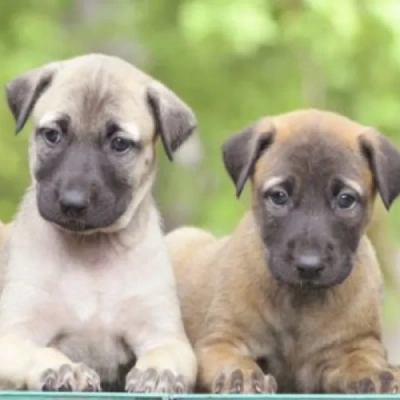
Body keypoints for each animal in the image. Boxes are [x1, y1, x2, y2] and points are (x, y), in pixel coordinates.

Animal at [0, 52, 197, 390]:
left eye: (119, 144)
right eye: (52, 135)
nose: (72, 203)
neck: (89, 251)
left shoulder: (166, 336)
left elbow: (164, 354)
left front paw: (158, 372)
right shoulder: (12, 335)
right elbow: (37, 353)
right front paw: (66, 369)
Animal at [166, 109, 400, 394]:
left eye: (346, 199)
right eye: (278, 196)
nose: (309, 266)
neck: (299, 301)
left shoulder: (357, 344)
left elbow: (361, 360)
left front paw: (374, 373)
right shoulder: (221, 341)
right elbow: (234, 360)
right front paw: (241, 375)